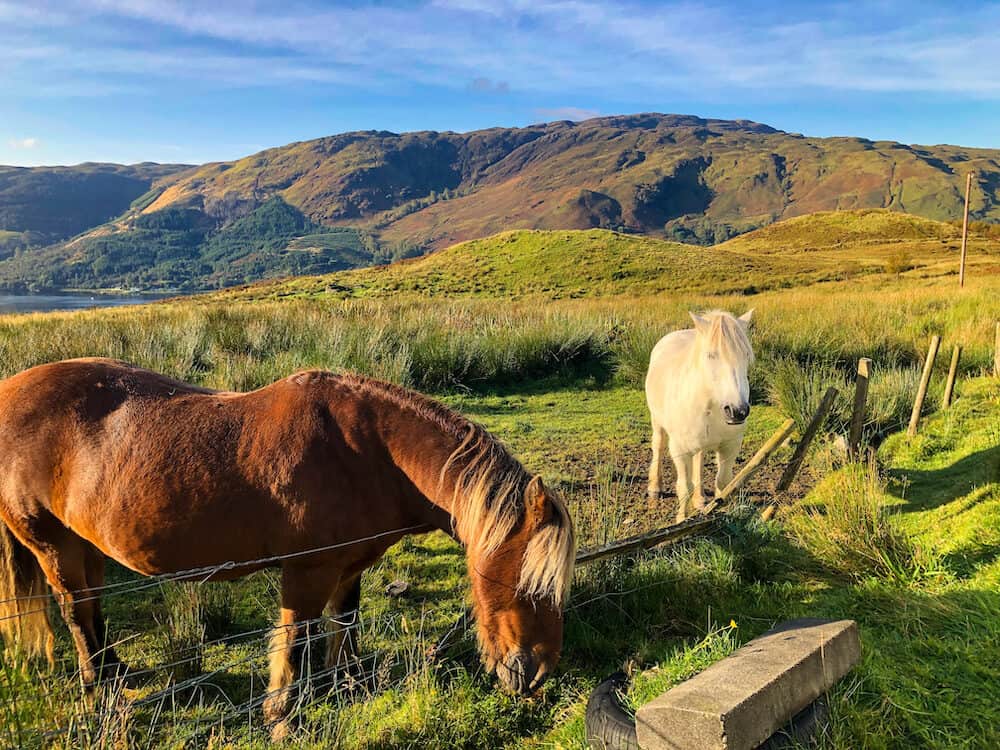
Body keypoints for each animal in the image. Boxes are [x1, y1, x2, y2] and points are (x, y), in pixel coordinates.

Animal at [0, 360, 576, 740]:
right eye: (522, 581)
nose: (535, 673)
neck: (368, 452)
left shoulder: (348, 566)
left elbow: (344, 626)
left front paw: (347, 686)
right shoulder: (307, 572)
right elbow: (296, 640)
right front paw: (283, 715)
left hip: (86, 544)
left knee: (93, 613)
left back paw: (119, 676)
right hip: (52, 544)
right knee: (77, 614)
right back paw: (103, 692)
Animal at [644, 312, 752, 524]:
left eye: (746, 355)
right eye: (711, 355)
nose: (738, 411)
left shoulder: (730, 446)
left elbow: (723, 483)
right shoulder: (679, 450)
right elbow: (684, 487)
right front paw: (681, 521)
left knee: (699, 460)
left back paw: (700, 499)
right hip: (657, 422)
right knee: (658, 447)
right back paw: (655, 488)